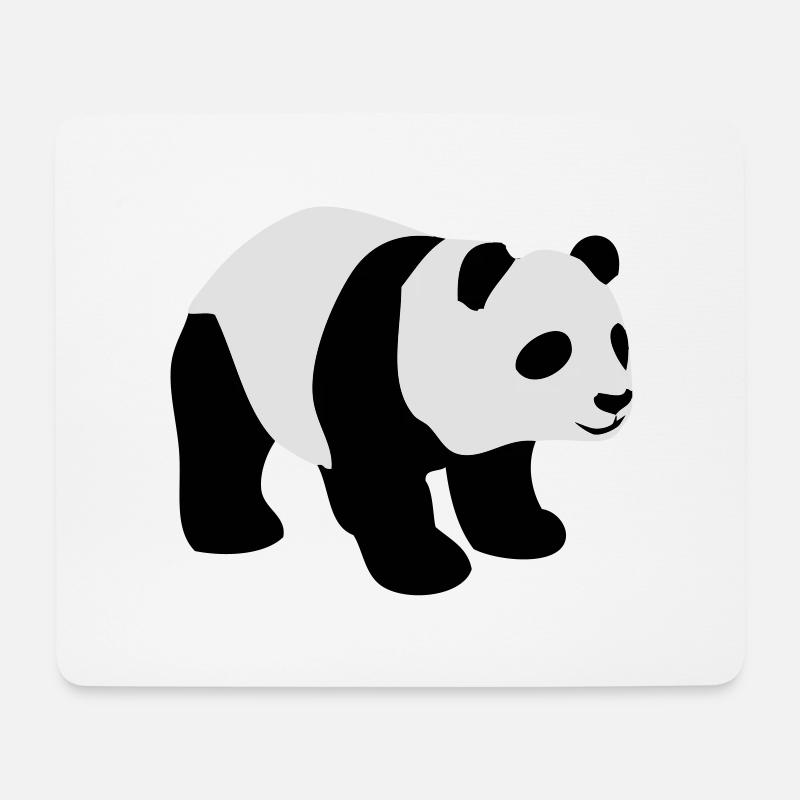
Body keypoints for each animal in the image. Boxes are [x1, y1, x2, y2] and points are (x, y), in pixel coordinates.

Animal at [171, 207, 632, 595]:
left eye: (618, 340)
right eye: (550, 350)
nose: (614, 399)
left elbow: (495, 470)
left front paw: (528, 532)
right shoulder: (369, 367)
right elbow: (380, 475)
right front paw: (427, 565)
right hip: (222, 350)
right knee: (223, 437)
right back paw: (238, 532)